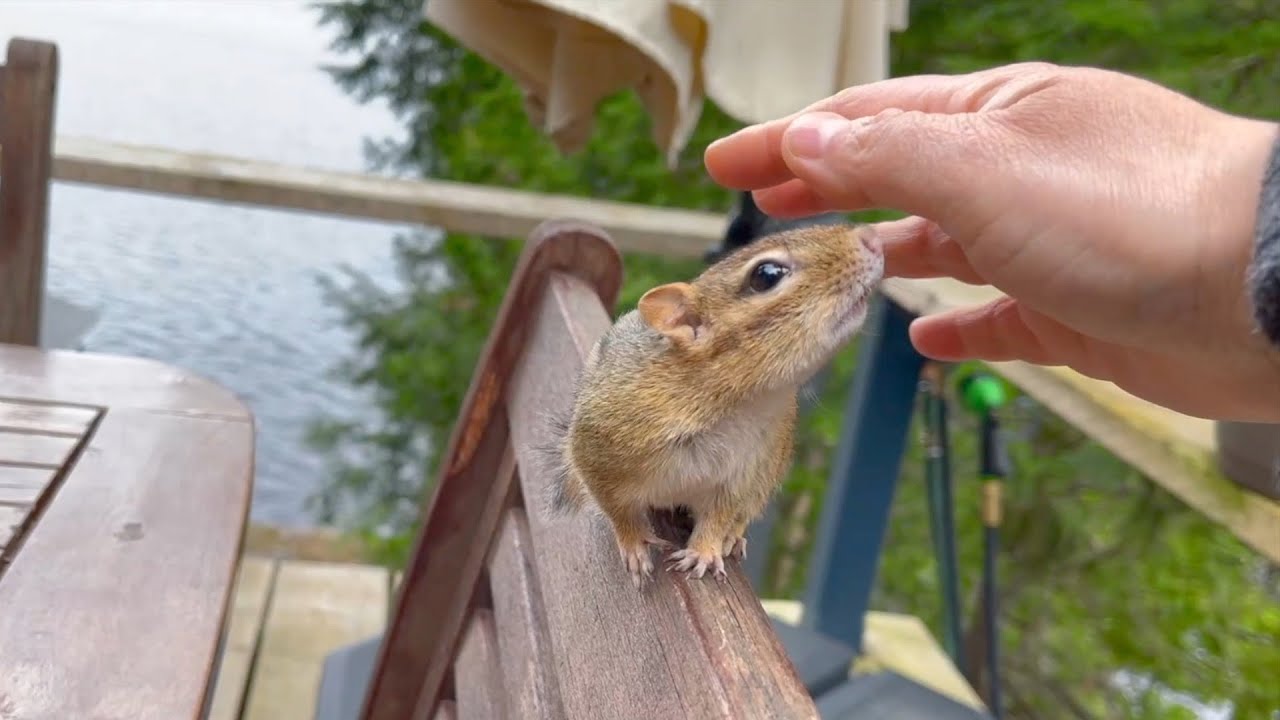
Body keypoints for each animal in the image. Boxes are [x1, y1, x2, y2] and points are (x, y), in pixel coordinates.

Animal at [546, 222, 885, 588]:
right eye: (766, 275)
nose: (871, 236)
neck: (740, 405)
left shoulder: (742, 474)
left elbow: (719, 516)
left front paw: (704, 551)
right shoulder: (597, 448)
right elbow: (614, 504)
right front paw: (634, 541)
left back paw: (733, 537)